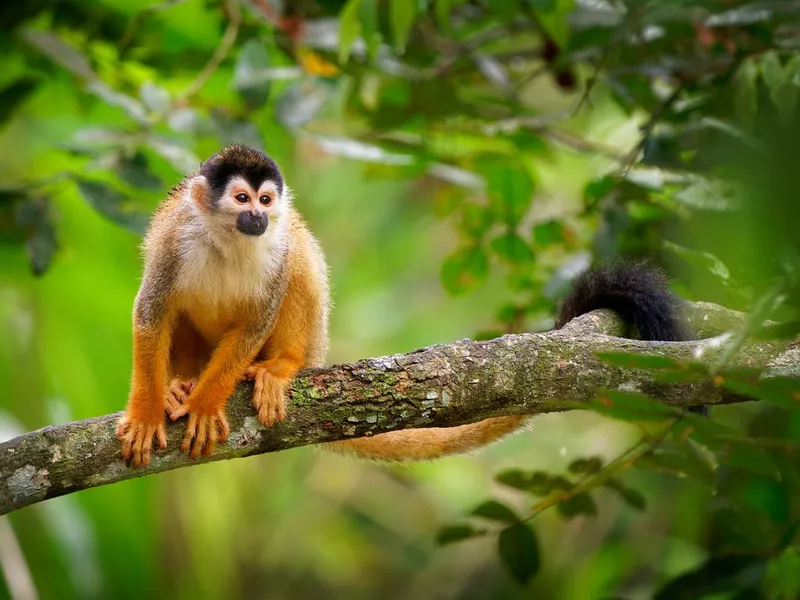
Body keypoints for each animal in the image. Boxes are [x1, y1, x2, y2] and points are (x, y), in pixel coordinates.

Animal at [117, 145, 692, 468]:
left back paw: (280, 366)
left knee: (301, 256)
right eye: (241, 200)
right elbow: (150, 313)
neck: (228, 239)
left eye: (264, 201)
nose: (258, 217)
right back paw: (181, 382)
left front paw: (207, 404)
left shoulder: (273, 249)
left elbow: (257, 317)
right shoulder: (174, 240)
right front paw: (148, 409)